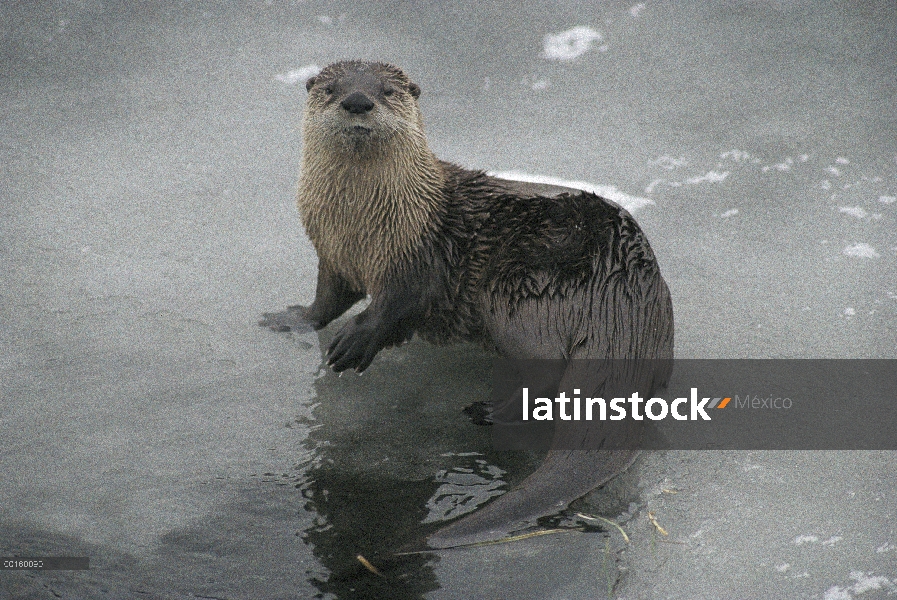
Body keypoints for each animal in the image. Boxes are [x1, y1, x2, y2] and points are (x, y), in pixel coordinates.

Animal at [260, 59, 672, 548]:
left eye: (386, 91)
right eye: (330, 89)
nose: (357, 101)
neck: (364, 228)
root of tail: (625, 290)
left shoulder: (420, 256)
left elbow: (399, 302)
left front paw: (354, 342)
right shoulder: (333, 253)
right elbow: (326, 299)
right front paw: (292, 320)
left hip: (520, 291)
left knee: (548, 365)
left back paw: (489, 411)